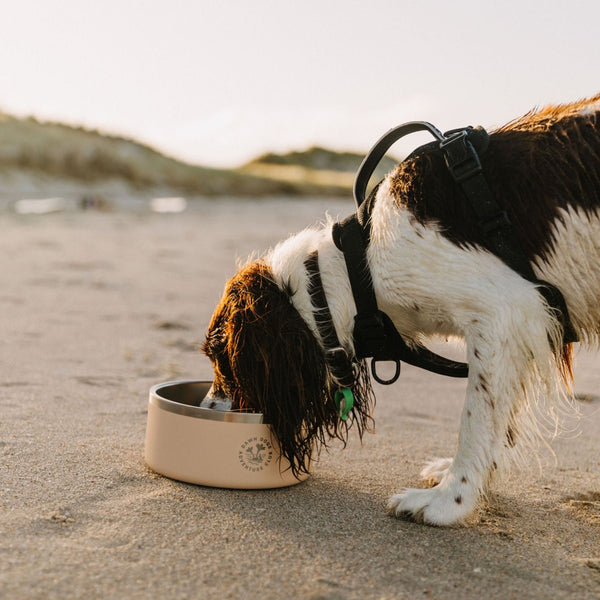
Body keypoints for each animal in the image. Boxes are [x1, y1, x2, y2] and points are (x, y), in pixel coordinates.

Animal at [203, 94, 600, 524]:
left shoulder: (506, 313)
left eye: (220, 356)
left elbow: (477, 418)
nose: (207, 408)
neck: (361, 267)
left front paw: (448, 501)